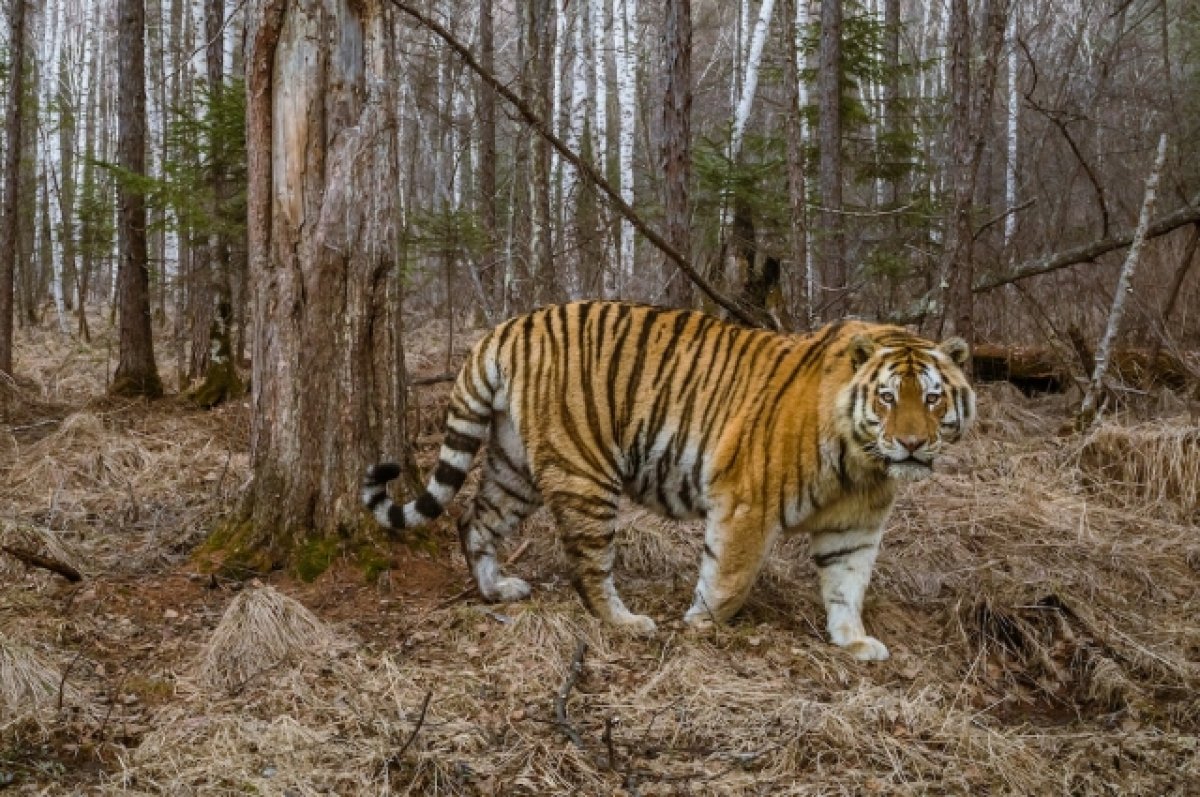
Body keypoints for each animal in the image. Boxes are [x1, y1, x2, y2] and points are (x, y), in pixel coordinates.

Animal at [364, 300, 974, 657]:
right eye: (888, 397)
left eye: (932, 398)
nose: (912, 443)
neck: (862, 465)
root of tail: (509, 326)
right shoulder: (745, 503)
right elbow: (728, 578)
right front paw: (700, 625)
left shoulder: (856, 527)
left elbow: (848, 585)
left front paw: (854, 641)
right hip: (584, 471)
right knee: (587, 565)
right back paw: (626, 622)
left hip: (514, 466)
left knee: (474, 519)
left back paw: (497, 590)